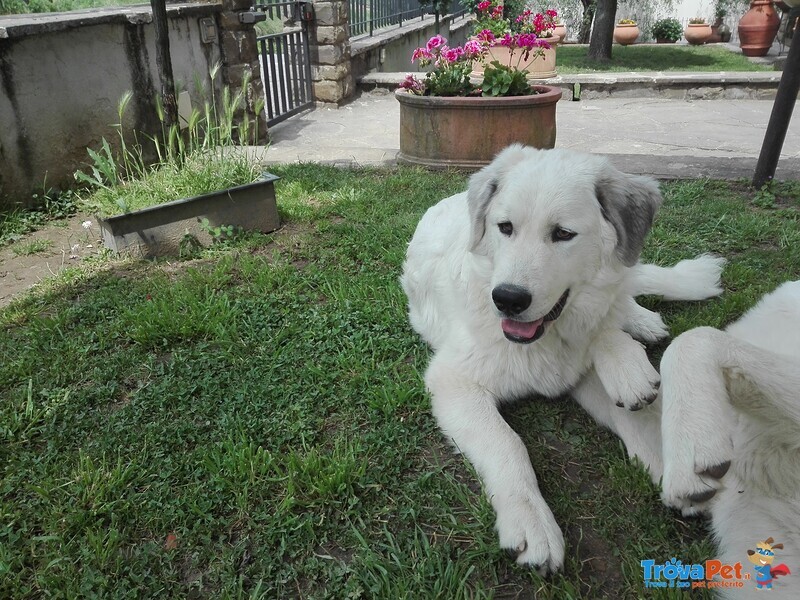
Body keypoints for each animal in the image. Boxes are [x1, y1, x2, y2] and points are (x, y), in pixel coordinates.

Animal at [400, 145, 724, 572]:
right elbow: (506, 443)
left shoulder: (579, 371)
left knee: (623, 291)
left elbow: (632, 414)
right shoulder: (455, 381)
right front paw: (530, 521)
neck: (547, 339)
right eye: (505, 228)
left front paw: (669, 461)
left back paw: (637, 331)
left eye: (563, 234)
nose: (507, 299)